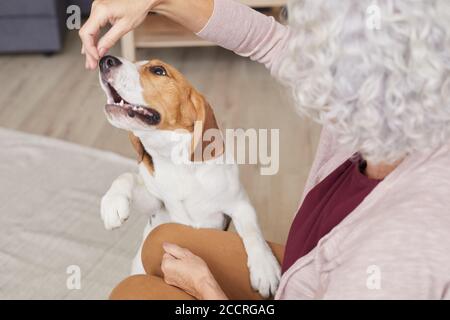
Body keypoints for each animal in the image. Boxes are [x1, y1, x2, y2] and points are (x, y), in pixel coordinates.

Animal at [100, 55, 280, 298]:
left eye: (158, 70)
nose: (104, 60)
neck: (176, 162)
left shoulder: (239, 204)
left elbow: (253, 231)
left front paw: (265, 267)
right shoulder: (156, 201)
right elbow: (125, 177)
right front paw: (112, 204)